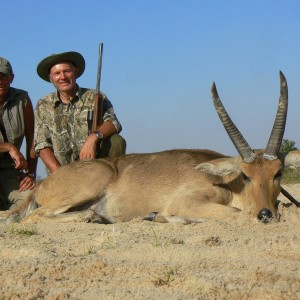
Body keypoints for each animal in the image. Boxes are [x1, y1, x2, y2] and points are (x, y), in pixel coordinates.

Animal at [7, 71, 288, 224]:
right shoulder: (187, 202)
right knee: (34, 216)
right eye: (246, 175)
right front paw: (160, 216)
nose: (266, 214)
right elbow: (236, 214)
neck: (227, 183)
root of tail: (42, 184)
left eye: (278, 172)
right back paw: (93, 217)